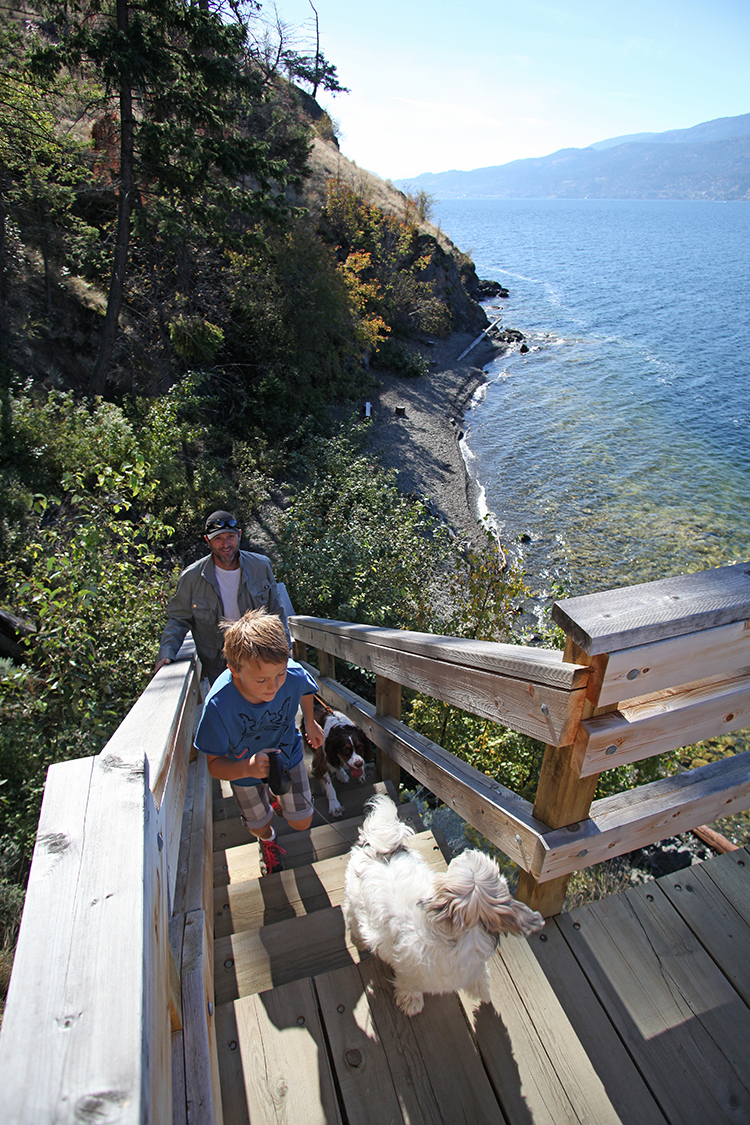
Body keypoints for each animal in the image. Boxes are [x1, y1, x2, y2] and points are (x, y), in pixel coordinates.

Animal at [344, 796, 541, 1017]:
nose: (468, 852)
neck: (461, 930)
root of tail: (381, 848)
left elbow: (478, 976)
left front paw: (480, 990)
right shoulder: (407, 966)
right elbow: (409, 983)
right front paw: (411, 1001)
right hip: (354, 898)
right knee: (353, 918)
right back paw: (358, 940)